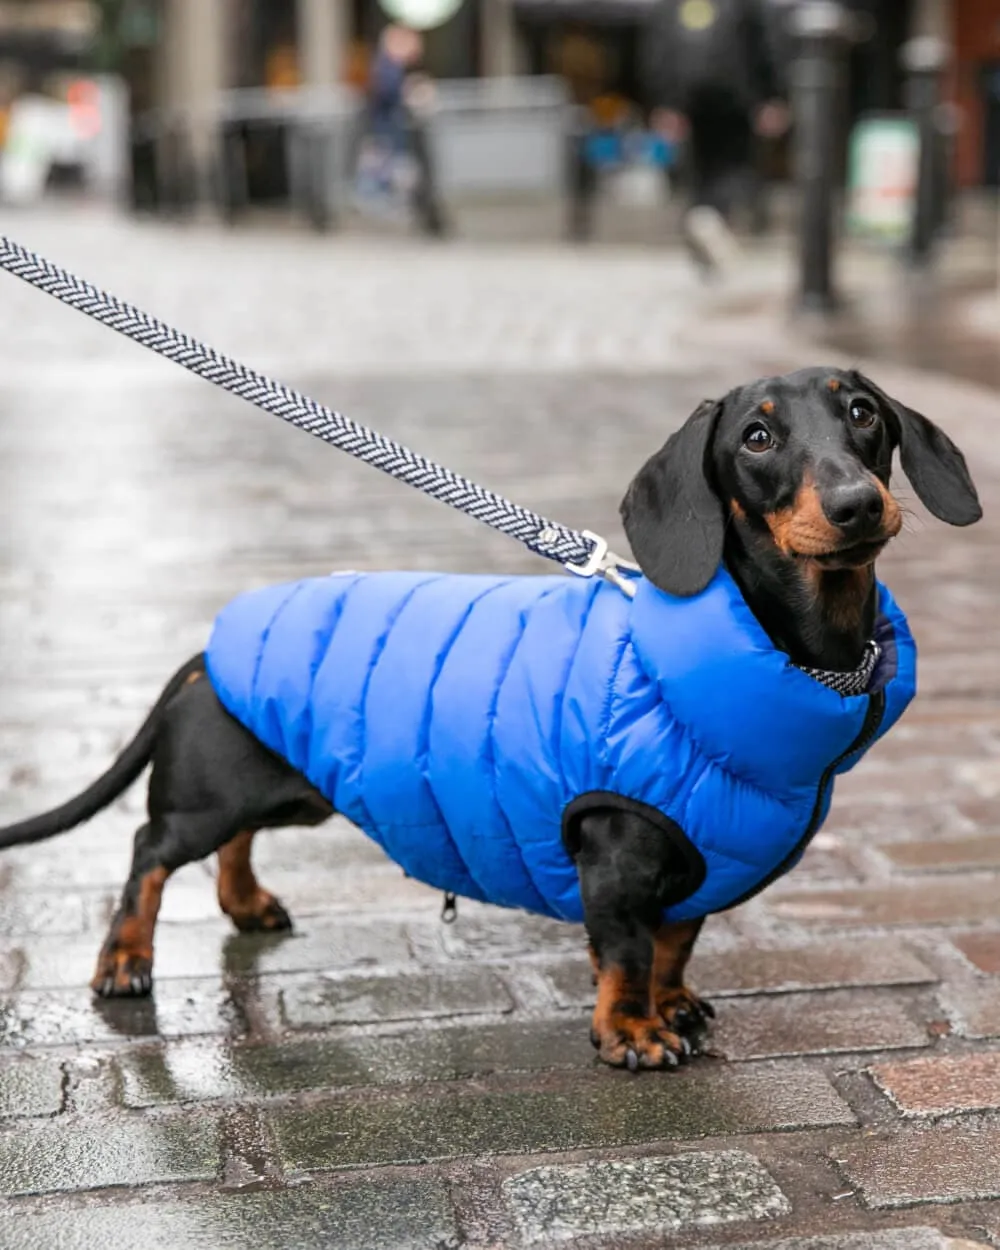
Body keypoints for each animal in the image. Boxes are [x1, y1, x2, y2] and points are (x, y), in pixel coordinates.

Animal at [0, 367, 980, 1065]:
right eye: (758, 436)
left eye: (863, 413)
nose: (857, 505)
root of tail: (207, 655)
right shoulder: (619, 851)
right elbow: (629, 951)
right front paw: (633, 1032)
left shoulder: (702, 861)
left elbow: (675, 944)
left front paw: (672, 1006)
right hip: (207, 796)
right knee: (149, 855)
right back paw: (124, 960)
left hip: (289, 789)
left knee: (229, 847)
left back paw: (246, 904)